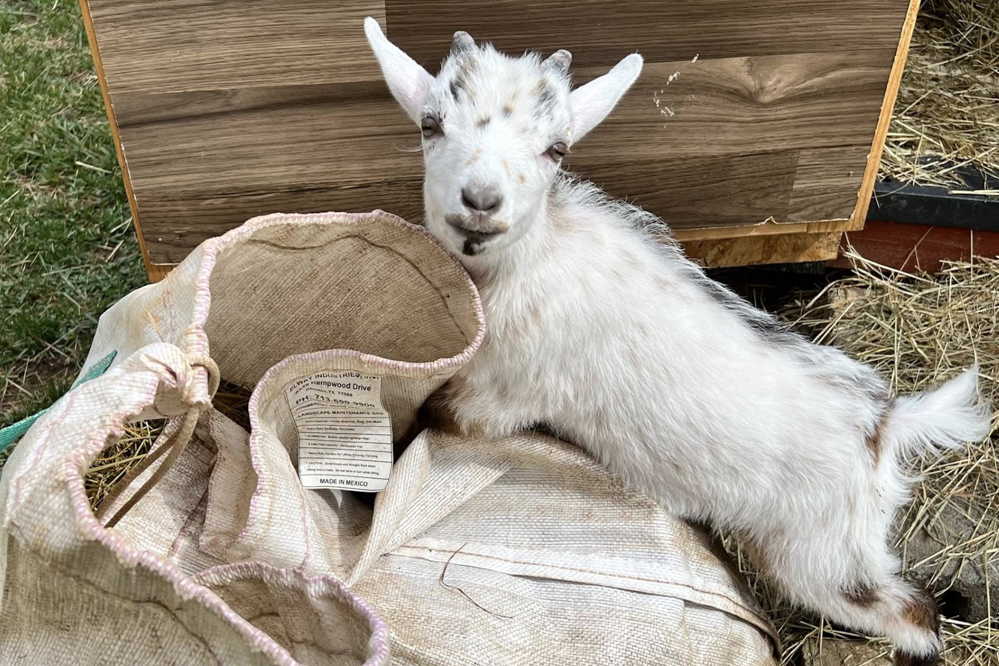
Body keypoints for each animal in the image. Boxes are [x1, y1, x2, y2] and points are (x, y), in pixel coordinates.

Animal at [363, 18, 991, 665]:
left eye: (557, 148)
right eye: (430, 123)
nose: (481, 204)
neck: (530, 259)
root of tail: (885, 424)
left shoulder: (497, 394)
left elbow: (435, 420)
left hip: (824, 555)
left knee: (911, 611)